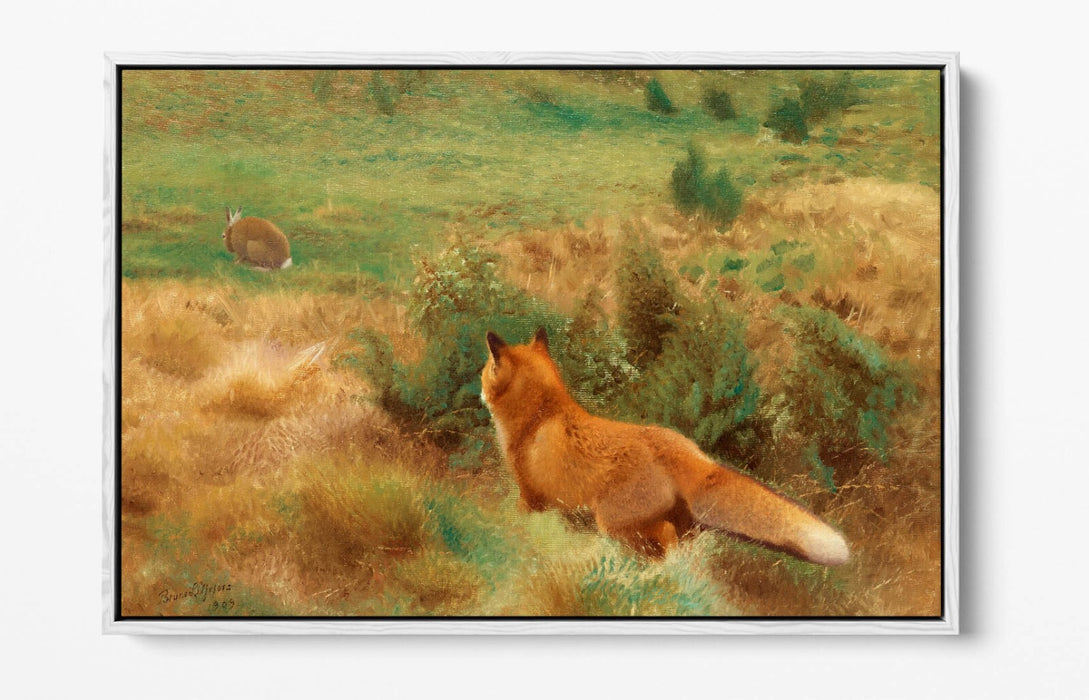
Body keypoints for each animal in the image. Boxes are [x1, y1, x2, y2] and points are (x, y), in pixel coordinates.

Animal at [480, 328, 850, 566]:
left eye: (485, 371)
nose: (479, 390)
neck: (539, 415)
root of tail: (688, 453)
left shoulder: (530, 496)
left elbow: (515, 519)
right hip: (678, 525)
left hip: (613, 522)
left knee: (663, 539)